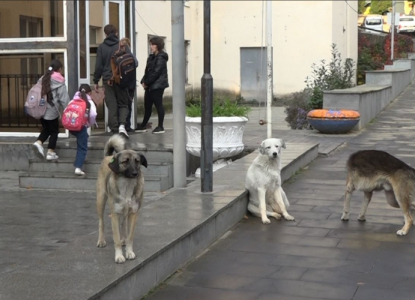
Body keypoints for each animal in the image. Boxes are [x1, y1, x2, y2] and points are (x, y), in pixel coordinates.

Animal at [96, 134, 148, 262]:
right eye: (125, 162)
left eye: (137, 161)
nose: (135, 173)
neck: (127, 184)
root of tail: (108, 156)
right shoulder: (114, 215)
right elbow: (116, 239)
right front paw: (119, 256)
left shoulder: (133, 213)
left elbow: (130, 237)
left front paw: (129, 252)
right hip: (100, 200)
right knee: (101, 222)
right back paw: (101, 240)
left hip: (125, 212)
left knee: (123, 225)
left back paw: (123, 238)